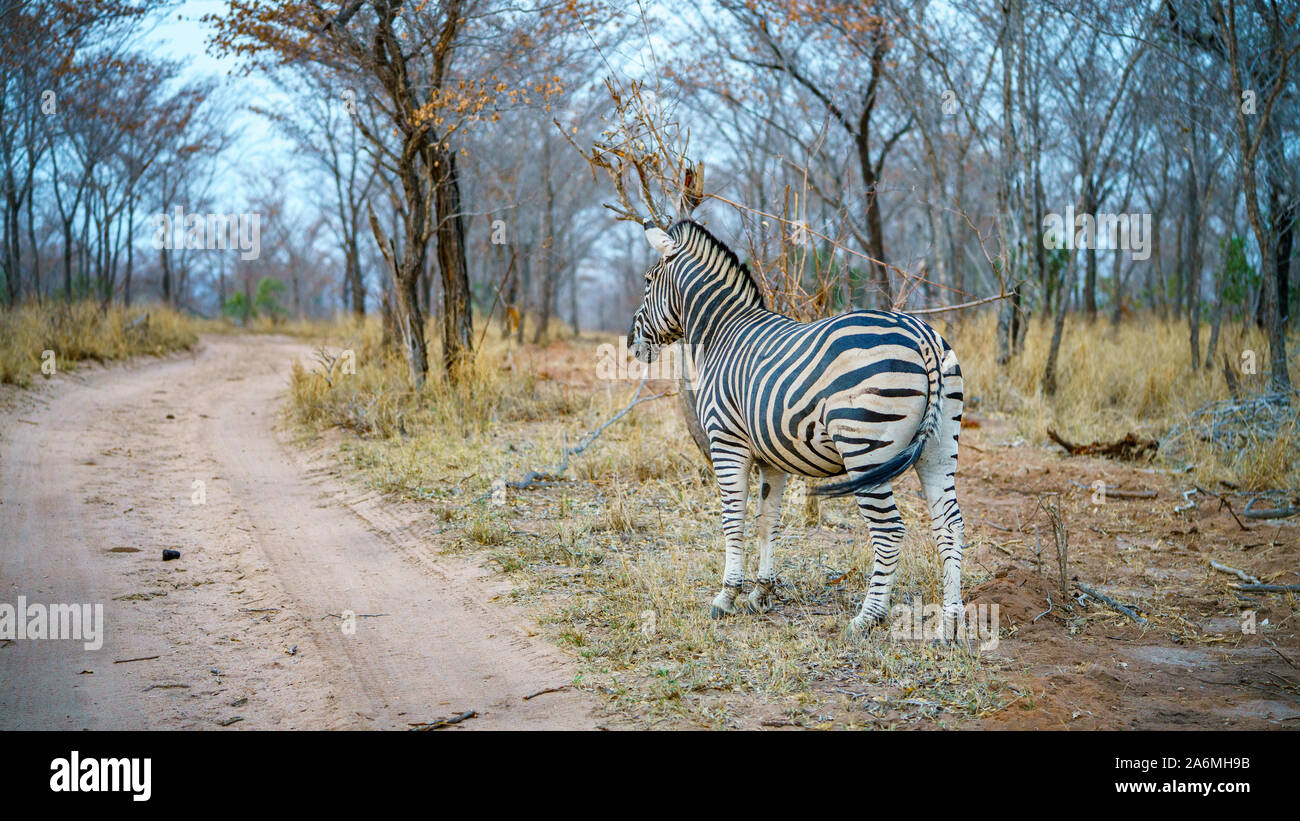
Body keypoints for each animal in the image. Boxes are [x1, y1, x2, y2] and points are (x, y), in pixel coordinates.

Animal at [629, 220, 967, 639]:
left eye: (647, 281)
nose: (631, 344)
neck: (722, 332)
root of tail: (920, 333)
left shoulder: (727, 443)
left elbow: (732, 519)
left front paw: (726, 597)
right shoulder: (771, 457)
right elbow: (766, 521)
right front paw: (761, 593)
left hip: (865, 450)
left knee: (889, 531)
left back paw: (868, 617)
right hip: (939, 447)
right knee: (950, 525)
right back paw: (950, 623)